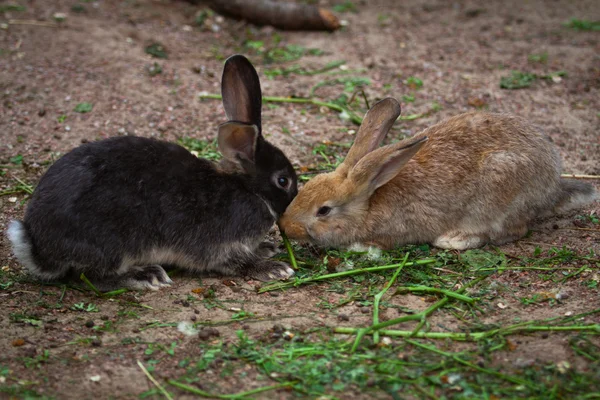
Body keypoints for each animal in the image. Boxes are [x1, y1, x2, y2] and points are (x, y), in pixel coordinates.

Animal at [8, 54, 298, 290]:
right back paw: (146, 276)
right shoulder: (220, 246)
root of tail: (40, 248)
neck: (248, 190)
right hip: (113, 244)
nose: (293, 201)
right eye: (282, 180)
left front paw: (267, 248)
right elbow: (236, 262)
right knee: (91, 277)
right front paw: (274, 268)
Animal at [278, 98, 596, 248]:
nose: (284, 226)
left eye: (323, 211)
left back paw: (453, 240)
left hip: (499, 191)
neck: (371, 200)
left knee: (511, 230)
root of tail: (552, 188)